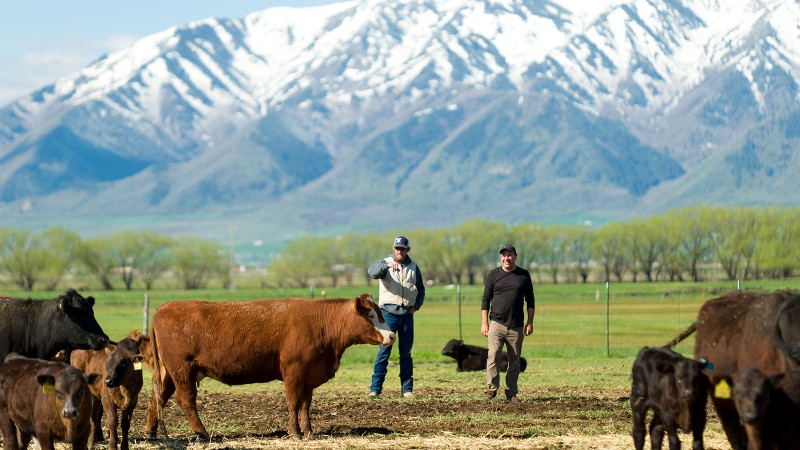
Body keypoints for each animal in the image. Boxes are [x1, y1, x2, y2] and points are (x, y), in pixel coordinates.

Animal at [145, 293, 395, 440]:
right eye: (371, 314)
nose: (392, 335)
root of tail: (165, 307)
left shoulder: (309, 375)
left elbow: (305, 406)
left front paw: (308, 432)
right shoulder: (293, 370)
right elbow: (293, 403)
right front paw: (295, 433)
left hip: (170, 372)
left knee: (158, 397)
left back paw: (151, 432)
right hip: (182, 370)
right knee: (185, 400)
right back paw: (203, 433)